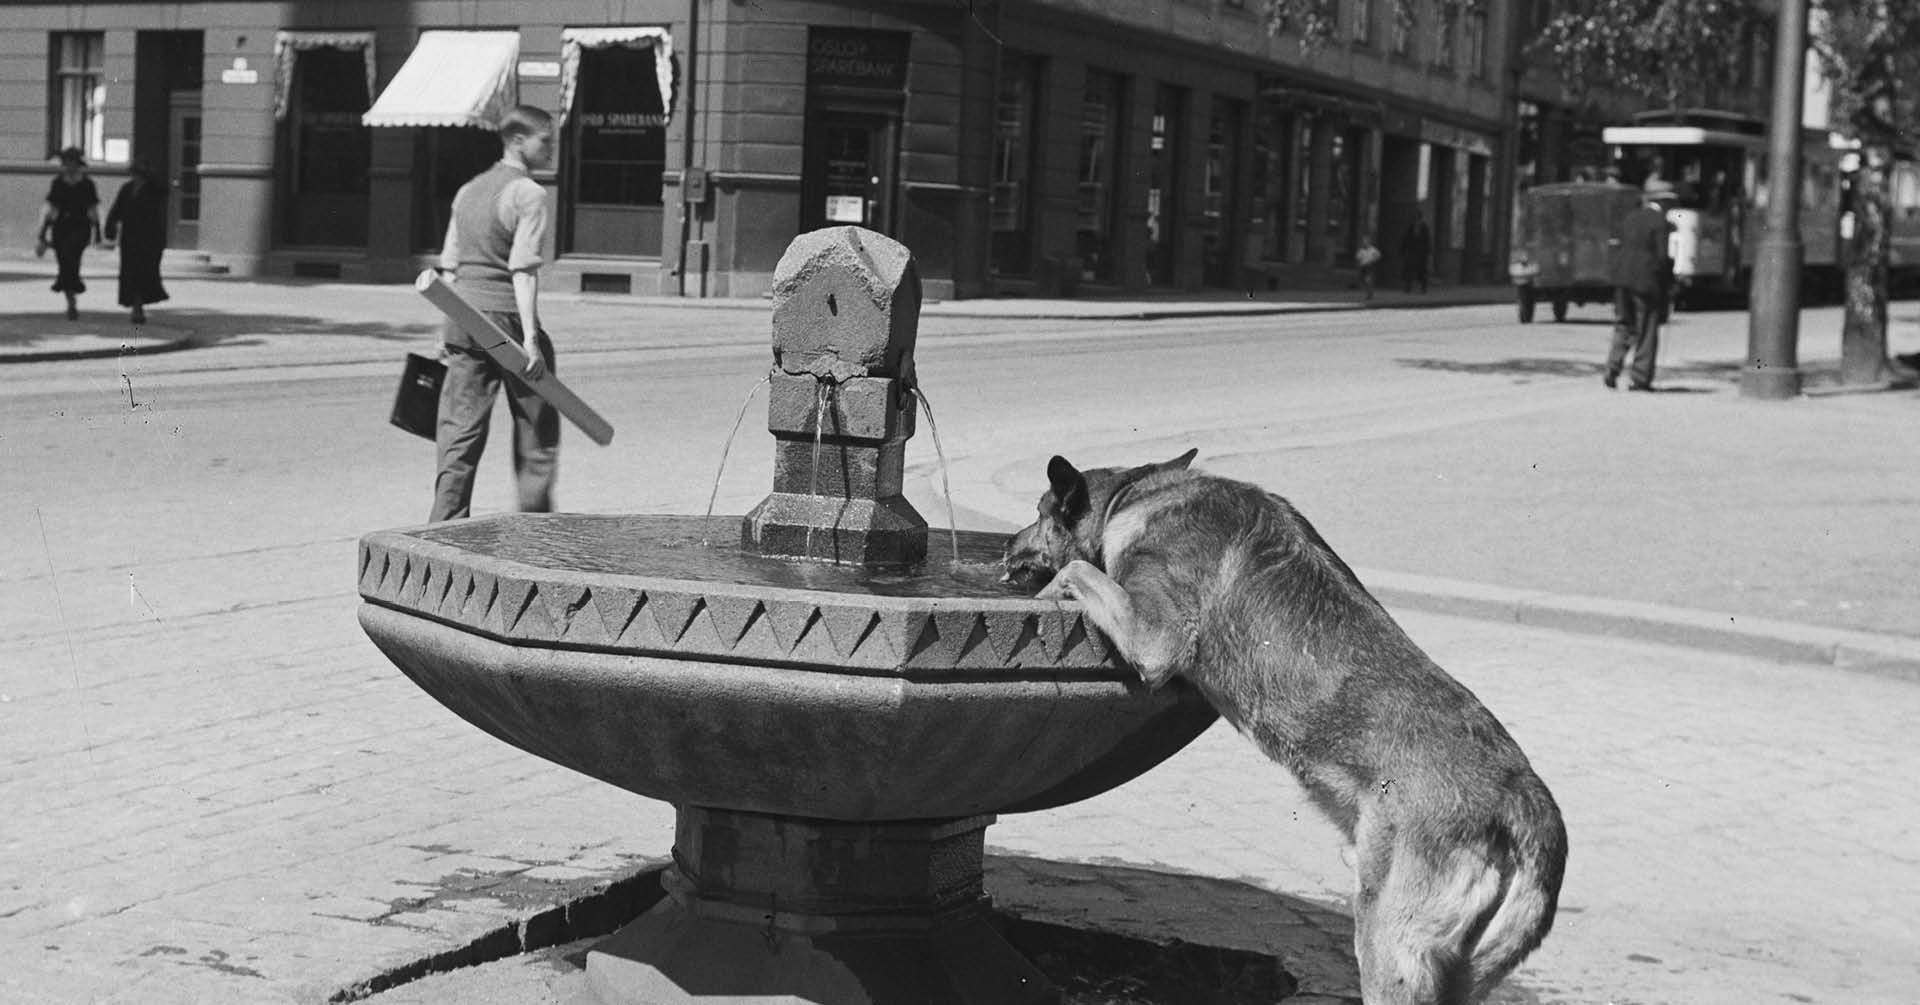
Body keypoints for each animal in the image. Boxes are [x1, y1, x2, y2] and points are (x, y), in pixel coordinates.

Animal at [998, 451, 1566, 999]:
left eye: (1037, 512)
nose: (1005, 545)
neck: (1133, 495)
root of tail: (1524, 796)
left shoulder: (1154, 639)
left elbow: (1075, 569)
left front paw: (1044, 598)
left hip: (1386, 941)